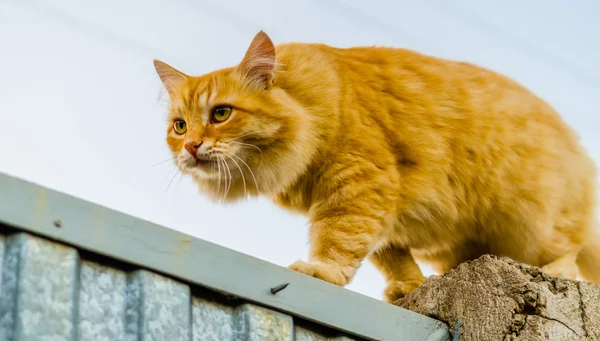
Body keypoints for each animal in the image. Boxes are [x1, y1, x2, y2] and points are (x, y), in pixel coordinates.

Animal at [156, 29, 600, 300]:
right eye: (179, 126)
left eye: (220, 114)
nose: (191, 146)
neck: (316, 104)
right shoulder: (387, 214)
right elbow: (390, 256)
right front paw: (409, 285)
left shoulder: (360, 183)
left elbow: (339, 240)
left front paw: (322, 271)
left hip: (531, 220)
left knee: (569, 248)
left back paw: (561, 271)